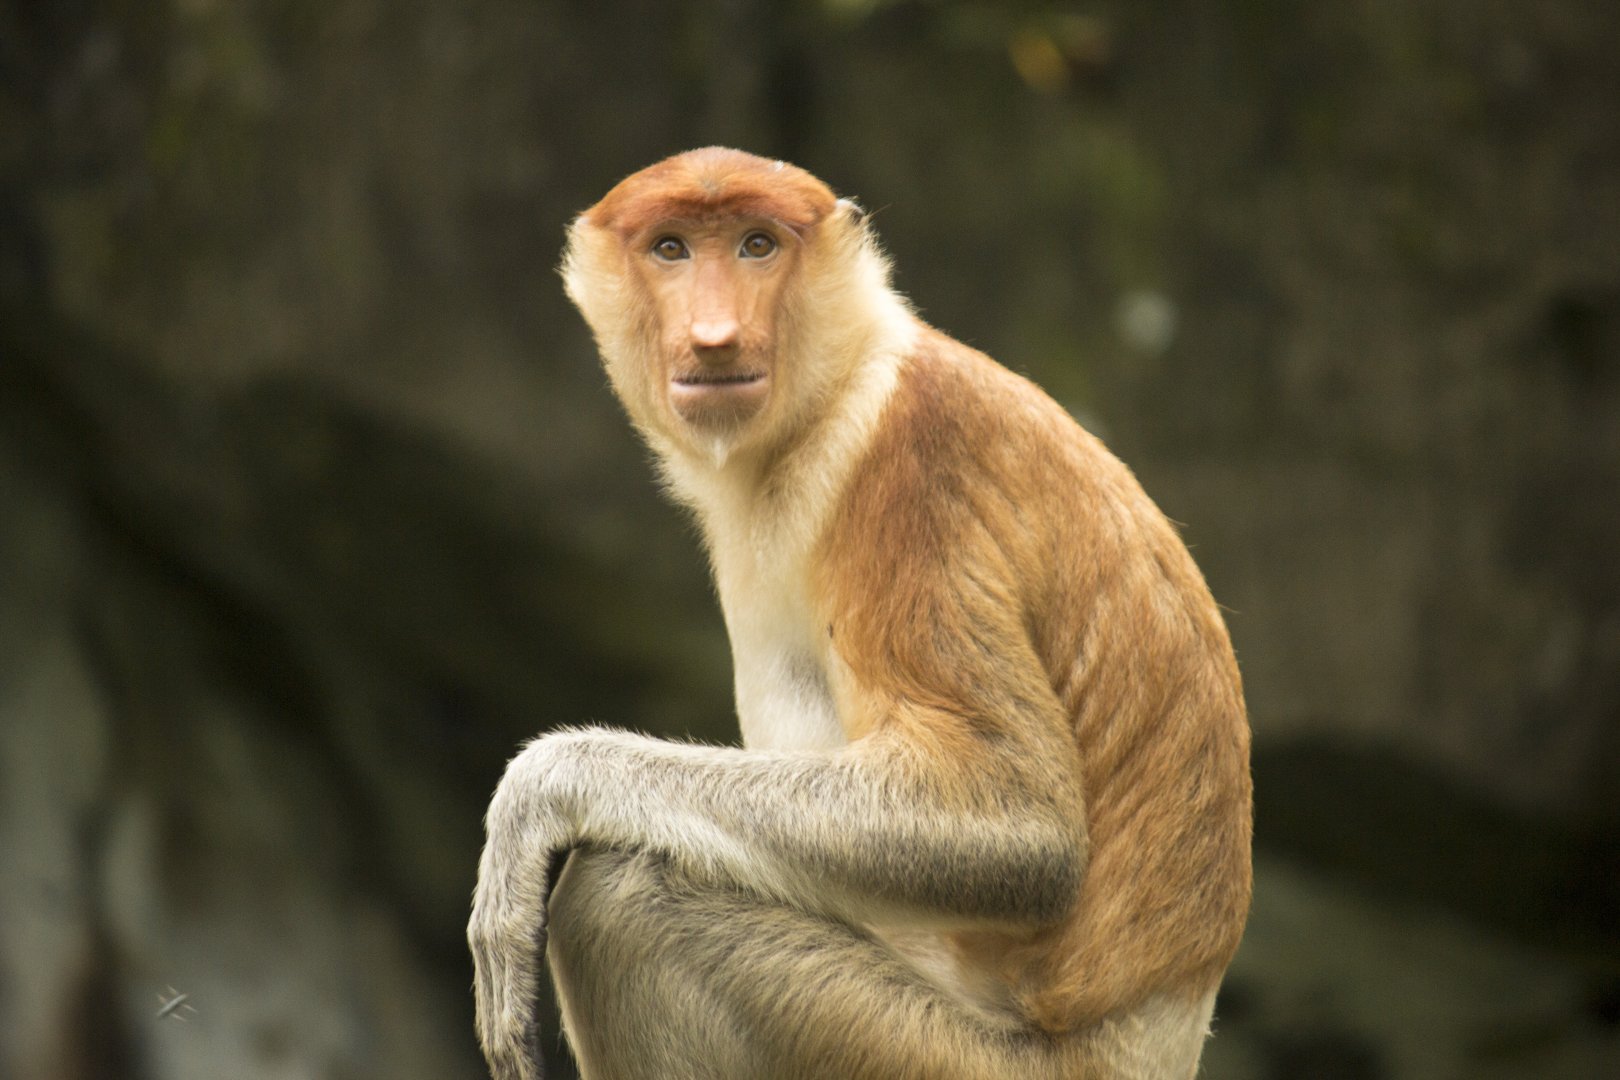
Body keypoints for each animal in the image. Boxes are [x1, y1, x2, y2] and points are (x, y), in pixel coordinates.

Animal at [467, 147, 1252, 1080]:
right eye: (670, 248)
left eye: (758, 244)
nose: (715, 338)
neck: (832, 391)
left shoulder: (909, 474)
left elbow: (1019, 821)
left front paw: (537, 795)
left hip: (915, 1050)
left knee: (624, 900)